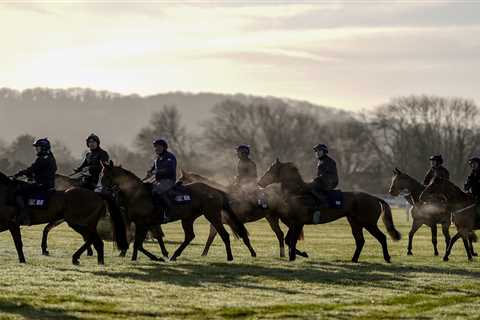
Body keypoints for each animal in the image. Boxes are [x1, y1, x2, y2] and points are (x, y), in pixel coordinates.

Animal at [97, 161, 255, 262]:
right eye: (100, 174)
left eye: (106, 175)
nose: (100, 189)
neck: (137, 193)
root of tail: (215, 191)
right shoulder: (144, 224)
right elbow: (139, 243)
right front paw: (145, 257)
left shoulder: (143, 223)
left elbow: (138, 243)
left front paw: (152, 257)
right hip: (188, 219)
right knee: (190, 236)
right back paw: (174, 255)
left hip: (212, 216)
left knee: (224, 235)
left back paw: (230, 257)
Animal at [180, 170, 308, 258]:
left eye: (180, 181)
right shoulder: (217, 222)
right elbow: (210, 238)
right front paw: (204, 254)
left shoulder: (235, 222)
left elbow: (244, 237)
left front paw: (253, 253)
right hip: (271, 218)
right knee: (280, 234)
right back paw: (284, 253)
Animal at [256, 159, 400, 262]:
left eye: (270, 169)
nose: (259, 183)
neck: (298, 193)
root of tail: (375, 198)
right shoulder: (294, 223)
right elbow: (288, 240)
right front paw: (300, 254)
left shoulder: (298, 223)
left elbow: (292, 240)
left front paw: (294, 256)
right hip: (355, 223)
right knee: (360, 241)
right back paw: (354, 259)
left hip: (369, 223)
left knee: (381, 237)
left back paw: (387, 258)